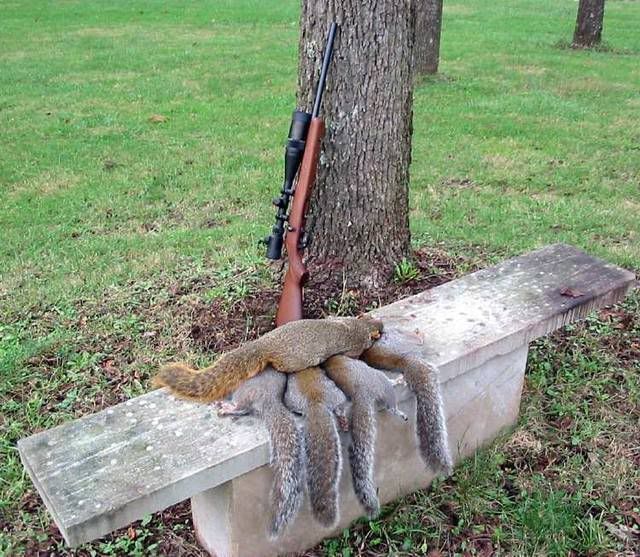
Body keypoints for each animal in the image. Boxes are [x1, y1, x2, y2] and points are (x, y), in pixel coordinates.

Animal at [152, 317, 383, 402]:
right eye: (379, 331)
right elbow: (354, 355)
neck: (359, 325)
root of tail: (266, 344)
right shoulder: (355, 345)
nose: (382, 328)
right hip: (293, 360)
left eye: (374, 318)